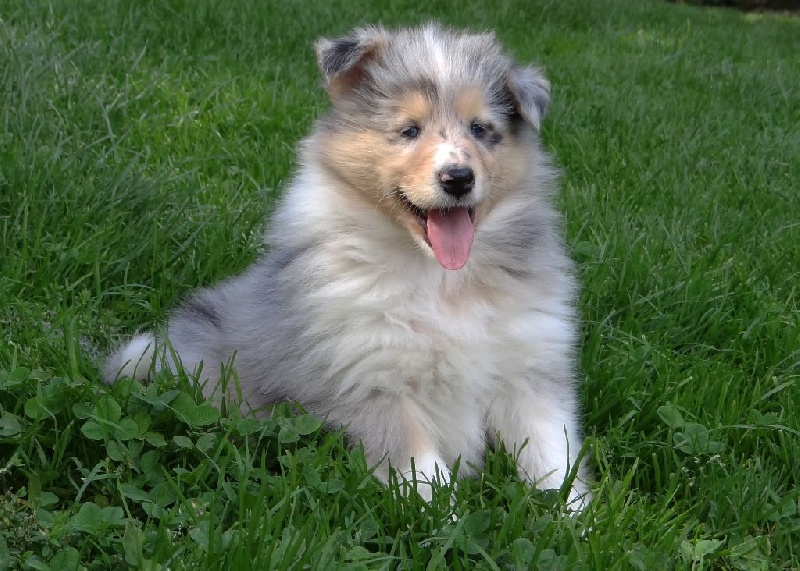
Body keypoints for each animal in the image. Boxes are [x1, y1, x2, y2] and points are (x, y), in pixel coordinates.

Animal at [105, 24, 591, 507]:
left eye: (481, 129)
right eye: (409, 130)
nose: (458, 178)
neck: (439, 278)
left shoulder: (529, 371)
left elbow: (553, 459)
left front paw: (575, 519)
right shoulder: (374, 382)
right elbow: (425, 476)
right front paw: (448, 526)